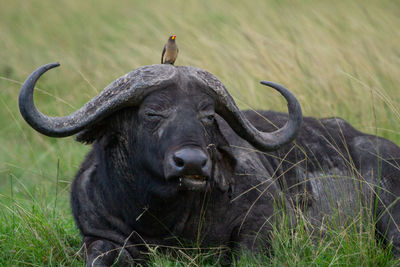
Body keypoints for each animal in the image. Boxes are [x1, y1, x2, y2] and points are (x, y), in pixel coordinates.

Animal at [18, 62, 400, 266]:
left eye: (207, 115)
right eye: (152, 113)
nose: (191, 162)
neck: (163, 218)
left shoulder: (264, 220)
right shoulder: (98, 234)